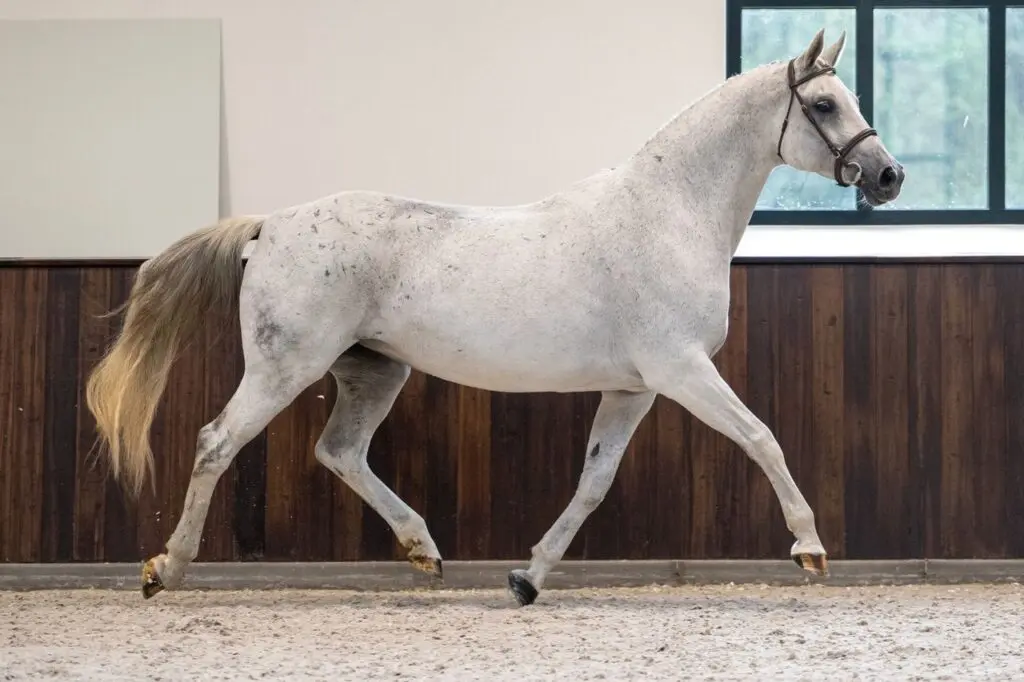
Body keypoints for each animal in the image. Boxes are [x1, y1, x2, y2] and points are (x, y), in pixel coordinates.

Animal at [85, 28, 904, 606]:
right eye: (824, 105)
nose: (889, 175)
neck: (667, 215)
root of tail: (269, 225)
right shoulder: (681, 371)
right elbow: (763, 438)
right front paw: (809, 549)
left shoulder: (633, 388)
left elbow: (593, 483)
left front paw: (528, 577)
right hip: (285, 366)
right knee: (216, 443)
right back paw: (166, 569)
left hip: (374, 370)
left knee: (340, 451)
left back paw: (423, 550)